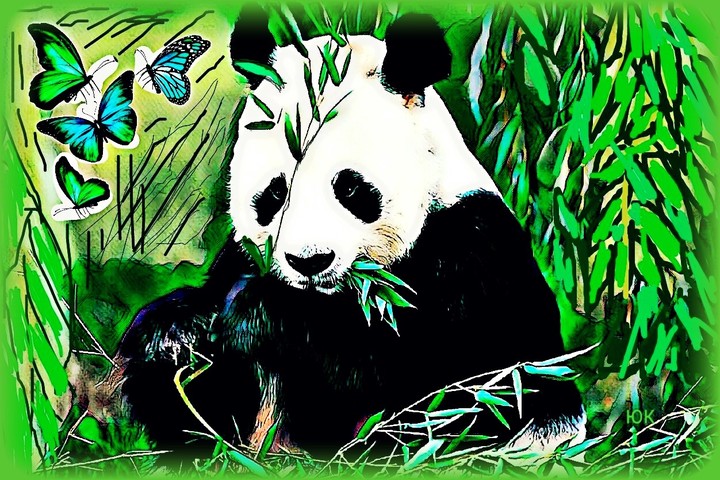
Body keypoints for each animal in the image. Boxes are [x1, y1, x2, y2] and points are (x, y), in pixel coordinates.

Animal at [117, 9, 585, 461]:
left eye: (351, 189)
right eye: (275, 193)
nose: (309, 262)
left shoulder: (474, 255)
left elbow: (457, 395)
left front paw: (262, 317)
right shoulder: (242, 257)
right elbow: (205, 410)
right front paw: (173, 334)